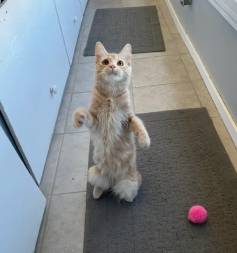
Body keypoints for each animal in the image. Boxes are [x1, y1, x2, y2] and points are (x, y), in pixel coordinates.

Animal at [72, 41, 150, 203]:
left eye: (120, 63)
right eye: (106, 62)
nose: (113, 66)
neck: (111, 96)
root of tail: (114, 179)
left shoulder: (127, 118)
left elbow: (138, 123)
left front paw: (144, 140)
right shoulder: (95, 121)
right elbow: (83, 113)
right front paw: (78, 118)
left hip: (129, 182)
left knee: (125, 191)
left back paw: (129, 199)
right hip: (94, 172)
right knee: (104, 185)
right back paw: (97, 192)